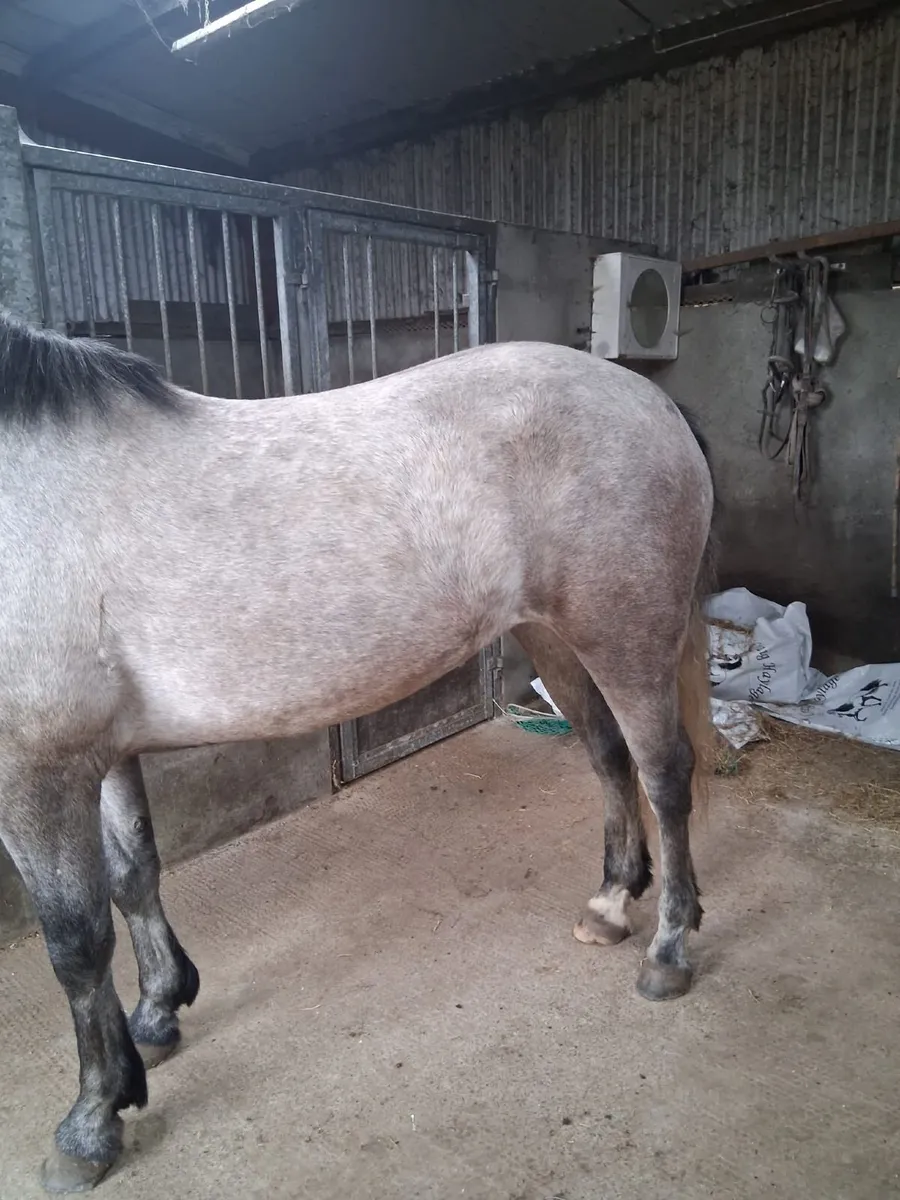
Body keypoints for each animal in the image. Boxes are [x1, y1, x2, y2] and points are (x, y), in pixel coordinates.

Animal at [0, 310, 715, 1192]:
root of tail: (654, 401)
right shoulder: (99, 757)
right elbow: (134, 877)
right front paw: (159, 1013)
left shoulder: (36, 771)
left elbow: (75, 943)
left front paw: (91, 1122)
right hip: (553, 638)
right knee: (611, 761)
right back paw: (612, 904)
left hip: (627, 638)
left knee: (665, 776)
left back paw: (669, 950)